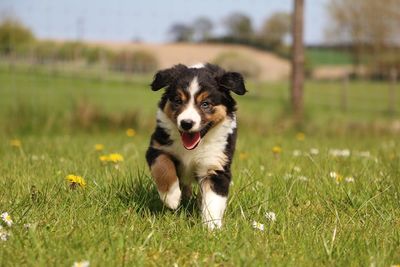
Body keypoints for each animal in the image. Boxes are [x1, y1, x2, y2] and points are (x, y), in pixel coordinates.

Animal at [146, 63, 247, 230]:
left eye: (205, 104)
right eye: (178, 101)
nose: (186, 123)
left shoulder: (216, 166)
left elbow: (213, 200)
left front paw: (212, 228)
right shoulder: (157, 147)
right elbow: (163, 167)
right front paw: (171, 197)